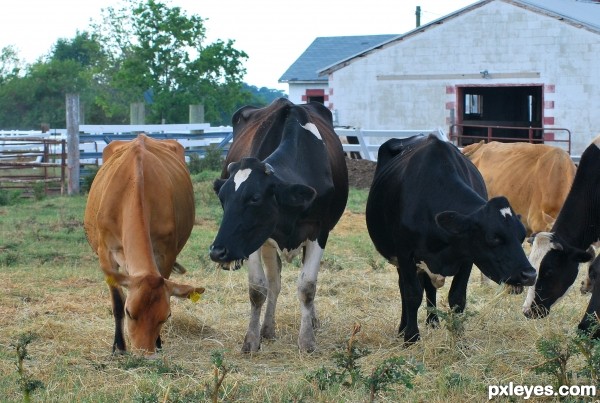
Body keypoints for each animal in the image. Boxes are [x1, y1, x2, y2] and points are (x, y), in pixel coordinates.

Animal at [82, 134, 205, 356]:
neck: (133, 186)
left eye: (166, 316)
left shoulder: (166, 253)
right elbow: (117, 301)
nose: (143, 354)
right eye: (130, 312)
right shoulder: (106, 253)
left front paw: (158, 342)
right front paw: (119, 347)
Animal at [209, 98, 350, 354]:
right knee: (274, 283)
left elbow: (307, 286)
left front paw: (307, 340)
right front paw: (251, 339)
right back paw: (267, 328)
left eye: (254, 198)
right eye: (223, 198)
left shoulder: (319, 232)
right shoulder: (254, 239)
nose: (217, 251)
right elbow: (258, 289)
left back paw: (311, 320)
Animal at [368, 136, 536, 344]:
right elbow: (412, 294)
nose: (530, 274)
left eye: (521, 236)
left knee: (429, 287)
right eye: (494, 238)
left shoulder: (467, 257)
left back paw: (433, 321)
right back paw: (403, 327)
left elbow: (457, 298)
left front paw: (458, 337)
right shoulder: (405, 254)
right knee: (405, 288)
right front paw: (411, 337)